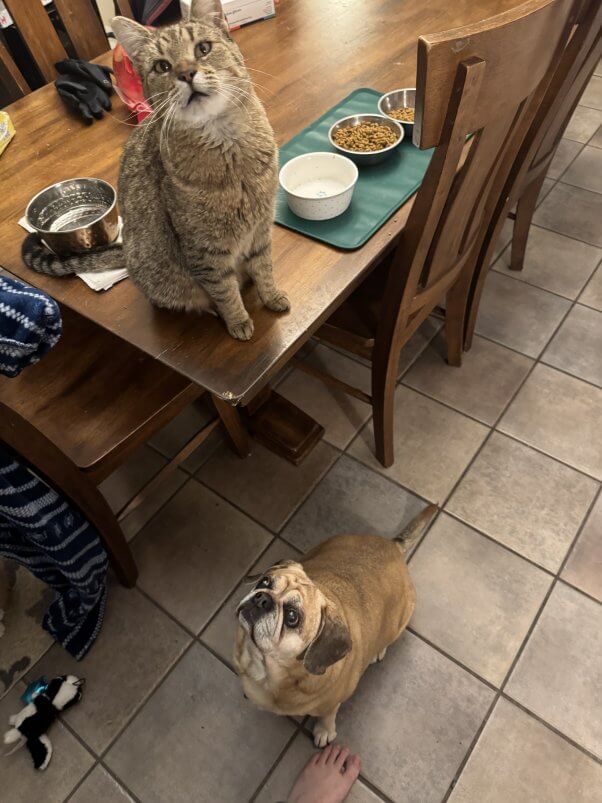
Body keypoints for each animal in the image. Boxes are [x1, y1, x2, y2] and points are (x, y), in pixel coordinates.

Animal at [21, 0, 288, 340]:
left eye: (203, 49)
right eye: (162, 66)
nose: (186, 73)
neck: (231, 155)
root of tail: (126, 252)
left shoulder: (261, 229)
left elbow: (264, 268)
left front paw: (272, 295)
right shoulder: (204, 252)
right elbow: (224, 291)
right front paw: (237, 319)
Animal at [232, 506, 434, 744]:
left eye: (292, 617)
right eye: (264, 582)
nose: (262, 598)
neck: (268, 667)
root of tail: (393, 546)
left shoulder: (331, 703)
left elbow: (328, 715)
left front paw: (324, 731)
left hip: (401, 620)